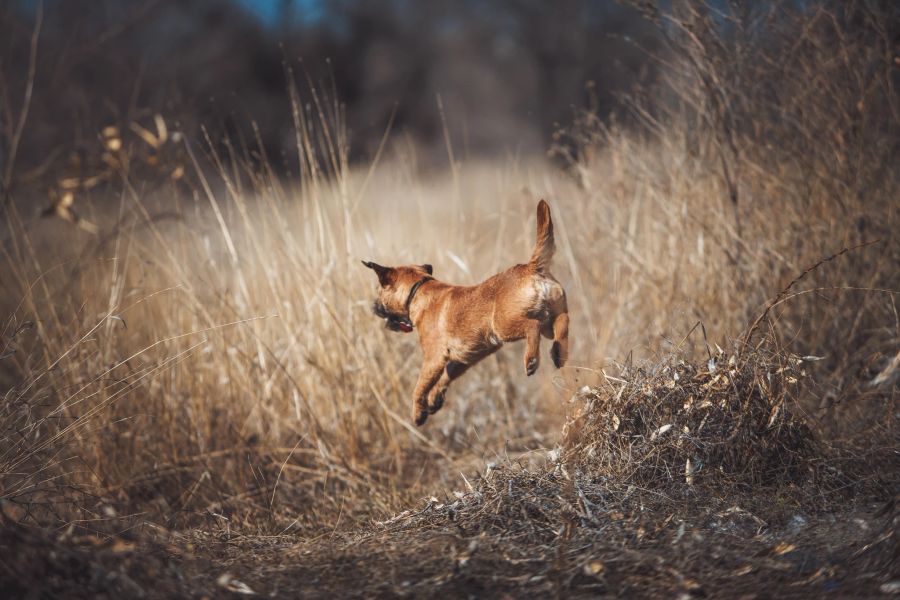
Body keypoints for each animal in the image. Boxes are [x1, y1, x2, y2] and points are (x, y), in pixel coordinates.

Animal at [360, 202, 568, 426]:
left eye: (379, 291)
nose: (373, 306)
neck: (419, 290)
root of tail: (532, 267)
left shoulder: (433, 358)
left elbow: (419, 387)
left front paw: (417, 413)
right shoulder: (462, 359)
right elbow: (444, 378)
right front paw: (434, 400)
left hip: (504, 326)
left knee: (532, 326)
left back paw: (531, 359)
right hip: (551, 317)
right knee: (562, 323)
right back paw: (559, 353)